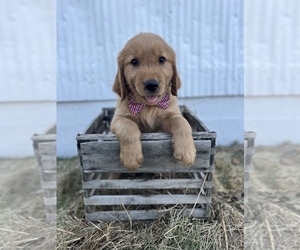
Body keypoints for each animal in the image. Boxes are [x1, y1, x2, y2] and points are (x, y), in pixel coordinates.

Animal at [111, 32, 196, 171]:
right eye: (134, 61)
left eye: (161, 59)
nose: (151, 85)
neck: (148, 106)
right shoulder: (117, 119)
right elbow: (128, 126)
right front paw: (131, 157)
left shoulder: (168, 117)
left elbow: (182, 122)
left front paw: (186, 152)